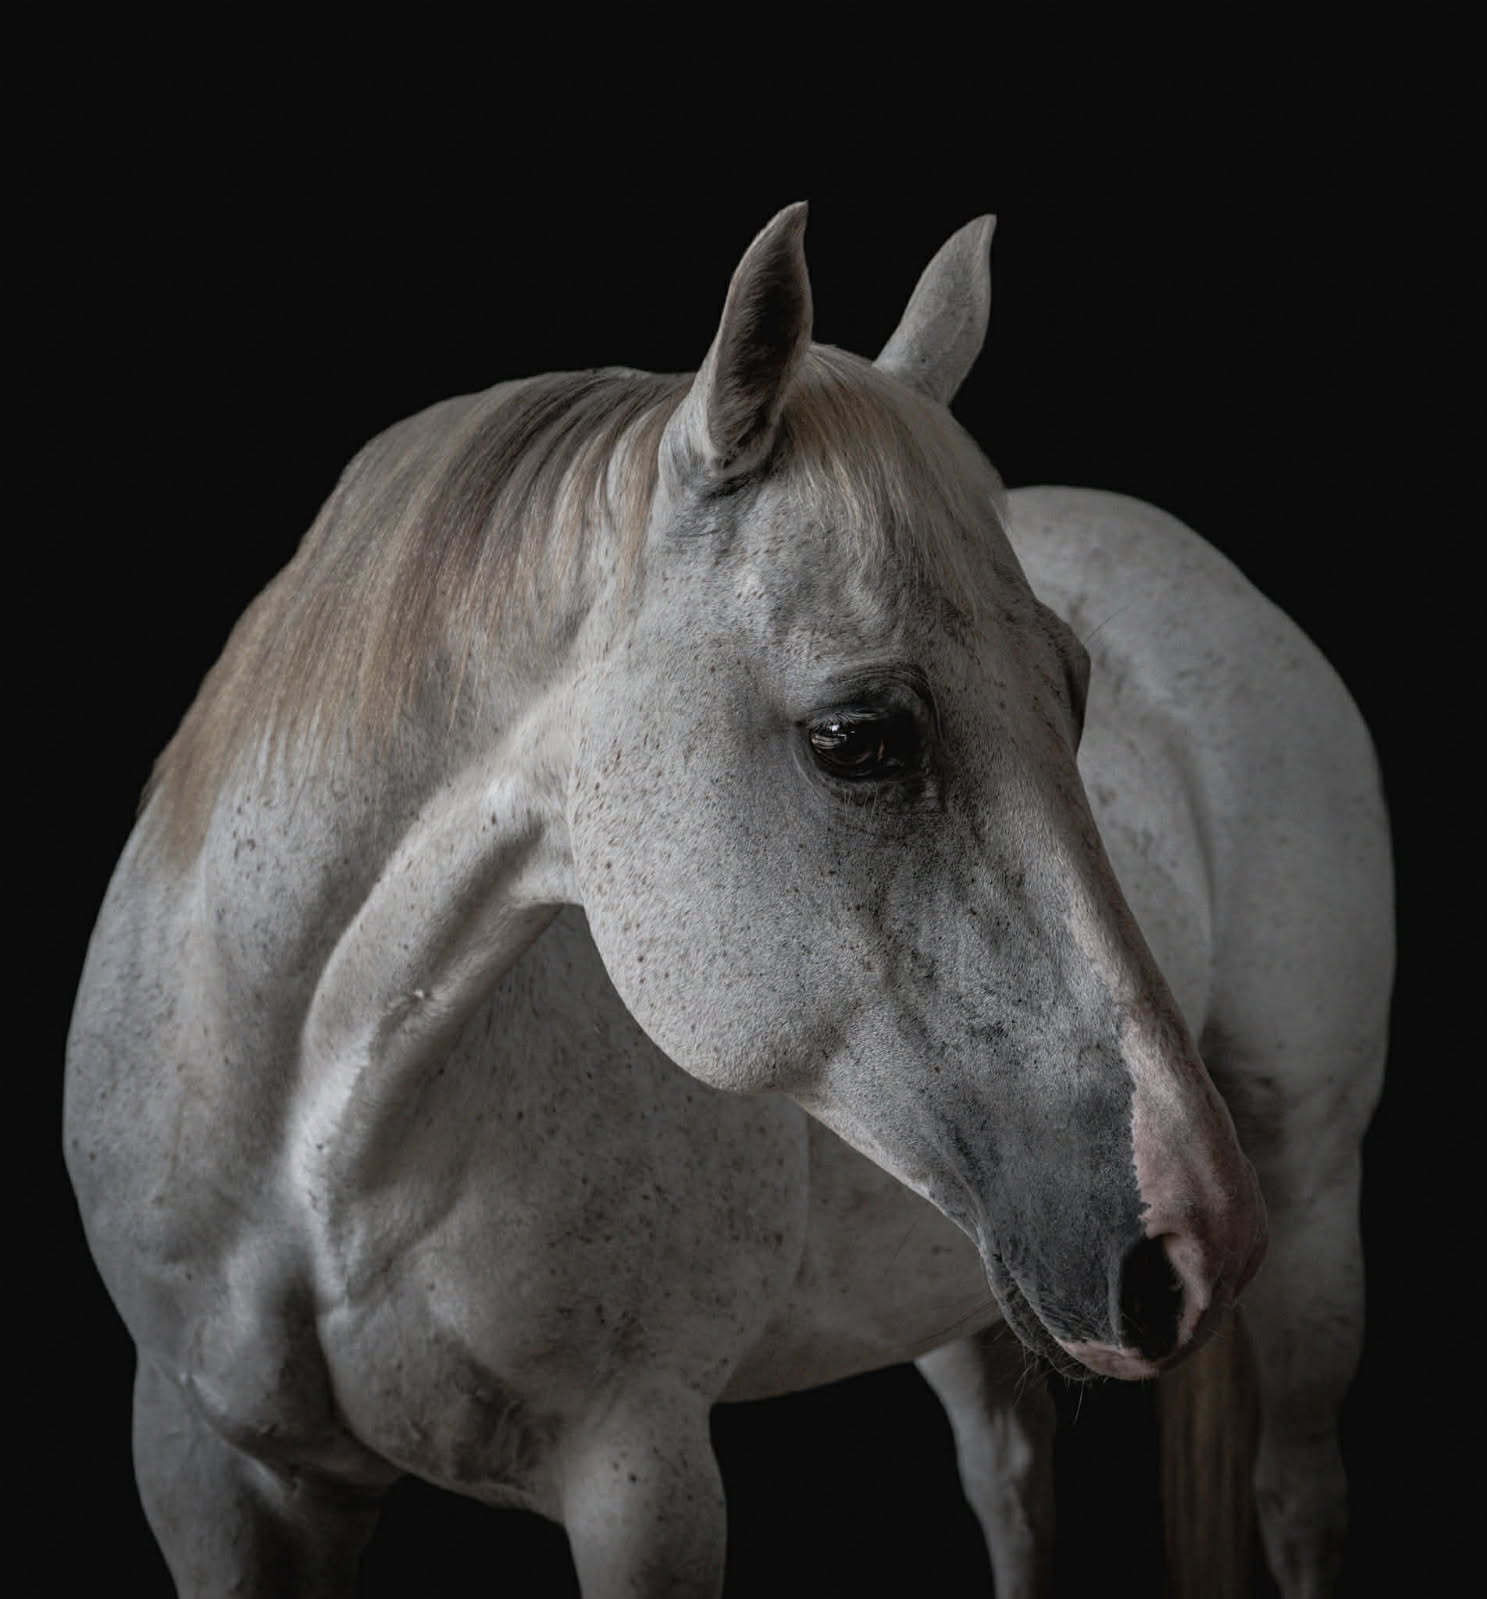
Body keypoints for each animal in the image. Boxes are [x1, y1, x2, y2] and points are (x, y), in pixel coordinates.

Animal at [64, 204, 1390, 1598]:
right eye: (855, 738)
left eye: (1073, 688)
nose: (1191, 1232)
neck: (317, 1145)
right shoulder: (213, 1474)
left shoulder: (639, 1474)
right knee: (1012, 1491)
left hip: (1305, 1201)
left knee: (1295, 1496)